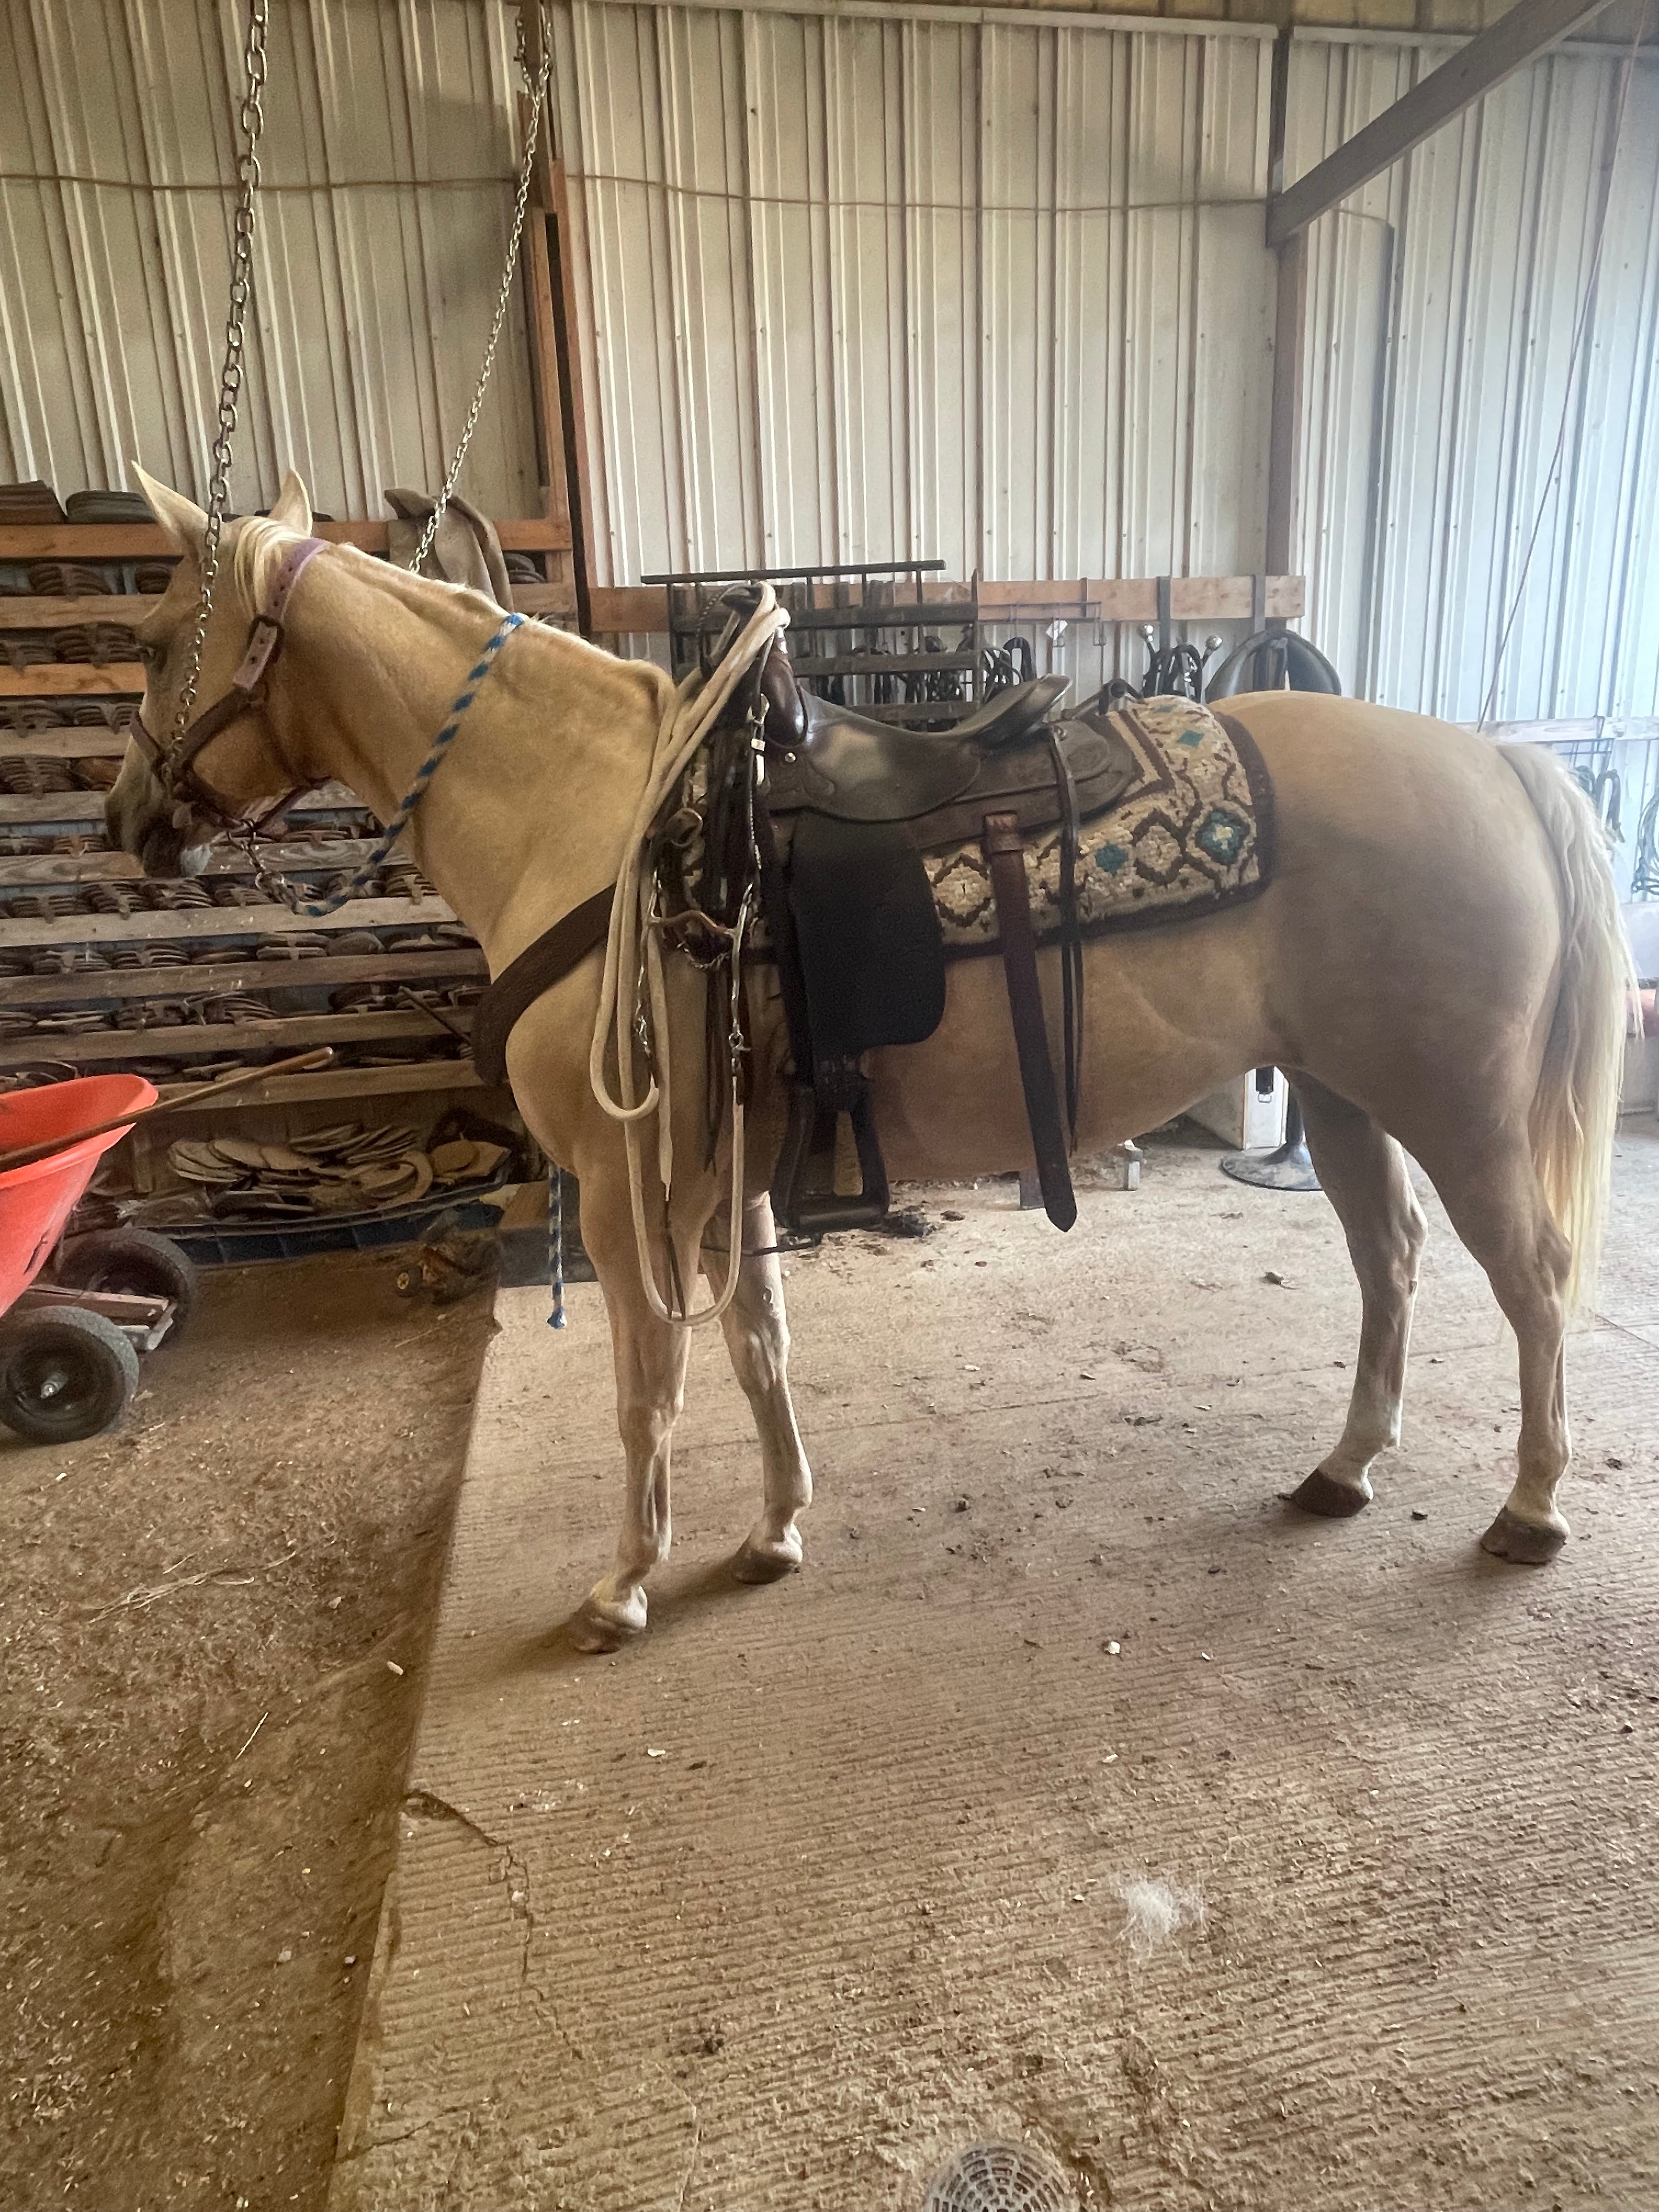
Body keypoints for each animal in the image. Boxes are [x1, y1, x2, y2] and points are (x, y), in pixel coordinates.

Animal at [106, 468, 1632, 1653]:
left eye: (160, 638)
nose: (128, 823)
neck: (595, 824)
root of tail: (1499, 766)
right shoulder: (728, 1173)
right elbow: (755, 1346)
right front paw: (776, 1531)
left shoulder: (627, 1193)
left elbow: (647, 1385)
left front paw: (624, 1586)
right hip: (1343, 1097)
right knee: (1394, 1264)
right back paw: (1345, 1469)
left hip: (1460, 1110)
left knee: (1536, 1278)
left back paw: (1531, 1508)